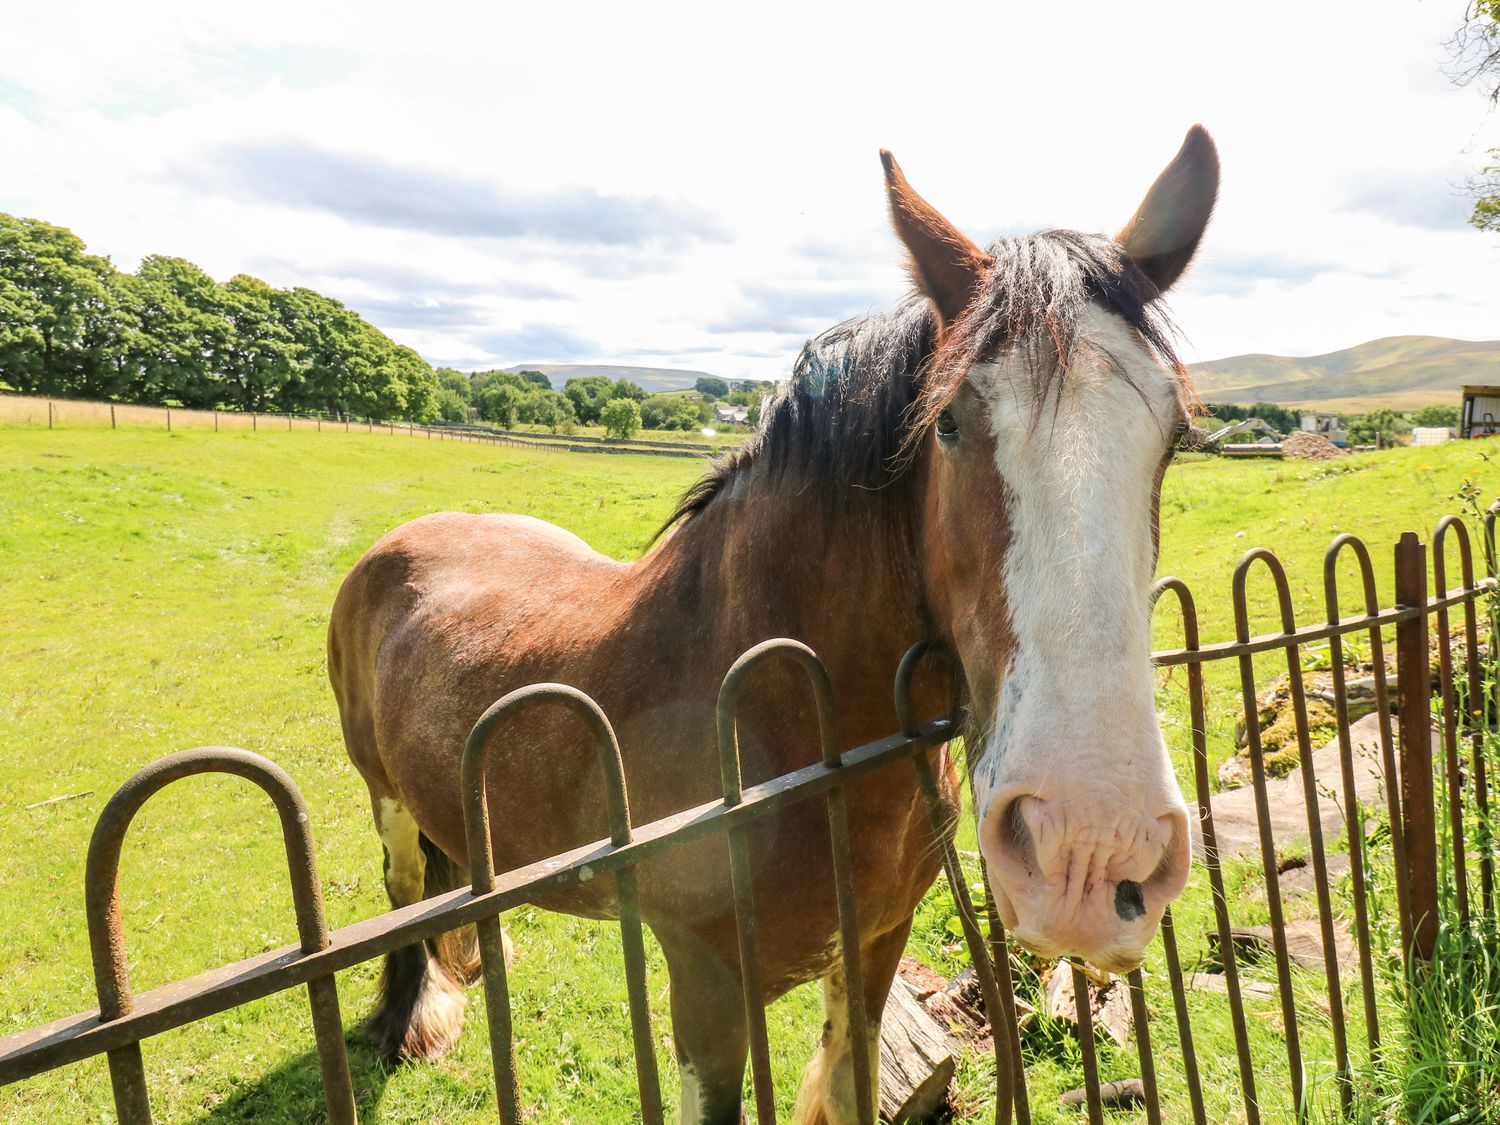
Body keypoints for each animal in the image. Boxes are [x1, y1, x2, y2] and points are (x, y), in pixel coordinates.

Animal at [331, 125, 1218, 1125]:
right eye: (948, 423)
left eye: (1176, 437)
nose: (1088, 853)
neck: (783, 720)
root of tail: (402, 541)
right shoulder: (708, 989)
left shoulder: (874, 946)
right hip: (386, 799)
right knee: (406, 890)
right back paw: (410, 1014)